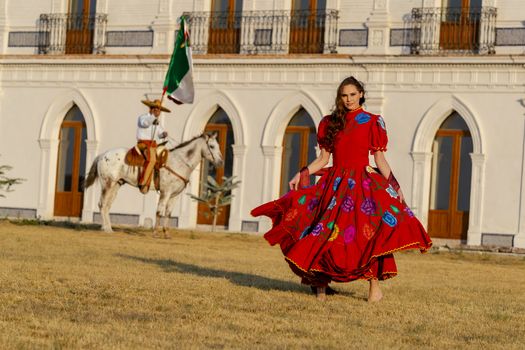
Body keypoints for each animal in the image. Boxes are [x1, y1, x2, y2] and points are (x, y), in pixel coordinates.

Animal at [84, 133, 223, 237]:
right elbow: (159, 211)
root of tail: (102, 155)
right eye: (212, 146)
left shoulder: (175, 195)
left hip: (116, 185)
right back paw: (106, 229)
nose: (221, 162)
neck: (179, 162)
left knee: (107, 206)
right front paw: (155, 232)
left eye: (217, 145)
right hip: (107, 184)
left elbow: (168, 213)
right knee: (102, 204)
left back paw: (108, 228)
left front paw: (166, 234)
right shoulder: (165, 193)